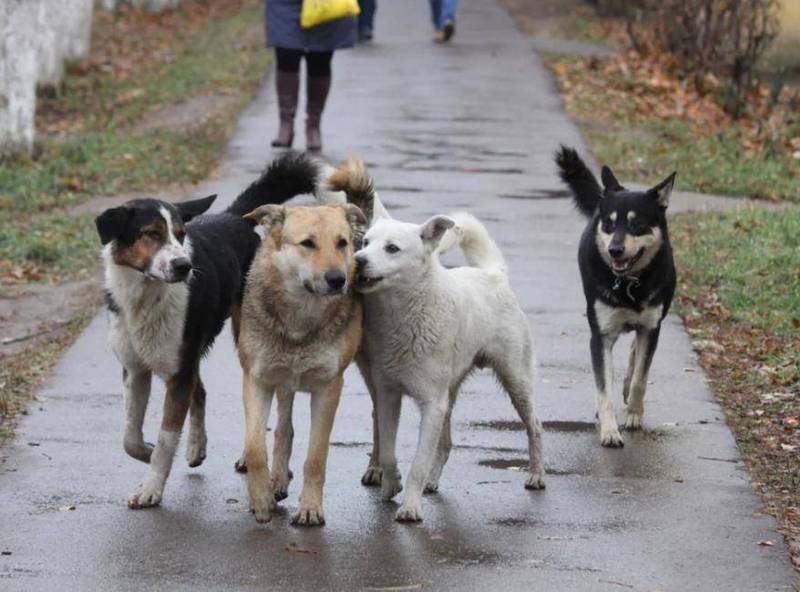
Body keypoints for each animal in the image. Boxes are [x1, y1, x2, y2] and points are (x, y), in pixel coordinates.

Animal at [97, 150, 324, 506]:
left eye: (180, 234)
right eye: (152, 233)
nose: (184, 266)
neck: (146, 295)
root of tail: (234, 218)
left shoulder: (178, 373)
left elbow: (166, 439)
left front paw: (151, 488)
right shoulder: (136, 369)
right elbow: (130, 436)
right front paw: (147, 451)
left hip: (250, 339)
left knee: (271, 408)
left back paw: (267, 467)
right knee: (201, 392)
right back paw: (196, 448)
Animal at [234, 201, 366, 524]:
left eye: (341, 243)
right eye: (308, 243)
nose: (338, 280)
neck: (300, 318)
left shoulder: (329, 388)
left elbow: (316, 457)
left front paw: (310, 508)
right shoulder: (257, 379)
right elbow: (256, 447)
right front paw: (261, 500)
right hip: (281, 380)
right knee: (282, 429)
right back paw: (276, 480)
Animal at [354, 209, 548, 524]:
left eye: (392, 248)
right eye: (365, 242)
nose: (357, 260)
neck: (403, 313)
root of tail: (494, 274)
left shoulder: (432, 403)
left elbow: (418, 463)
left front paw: (410, 507)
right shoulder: (388, 396)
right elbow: (388, 451)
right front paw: (392, 484)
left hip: (516, 381)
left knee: (535, 427)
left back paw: (537, 475)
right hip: (450, 393)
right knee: (445, 444)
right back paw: (432, 482)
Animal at [556, 146, 676, 446]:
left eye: (637, 224)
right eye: (609, 224)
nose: (615, 250)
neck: (629, 283)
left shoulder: (651, 327)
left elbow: (640, 379)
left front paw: (634, 414)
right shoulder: (601, 335)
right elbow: (603, 389)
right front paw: (609, 430)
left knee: (635, 355)